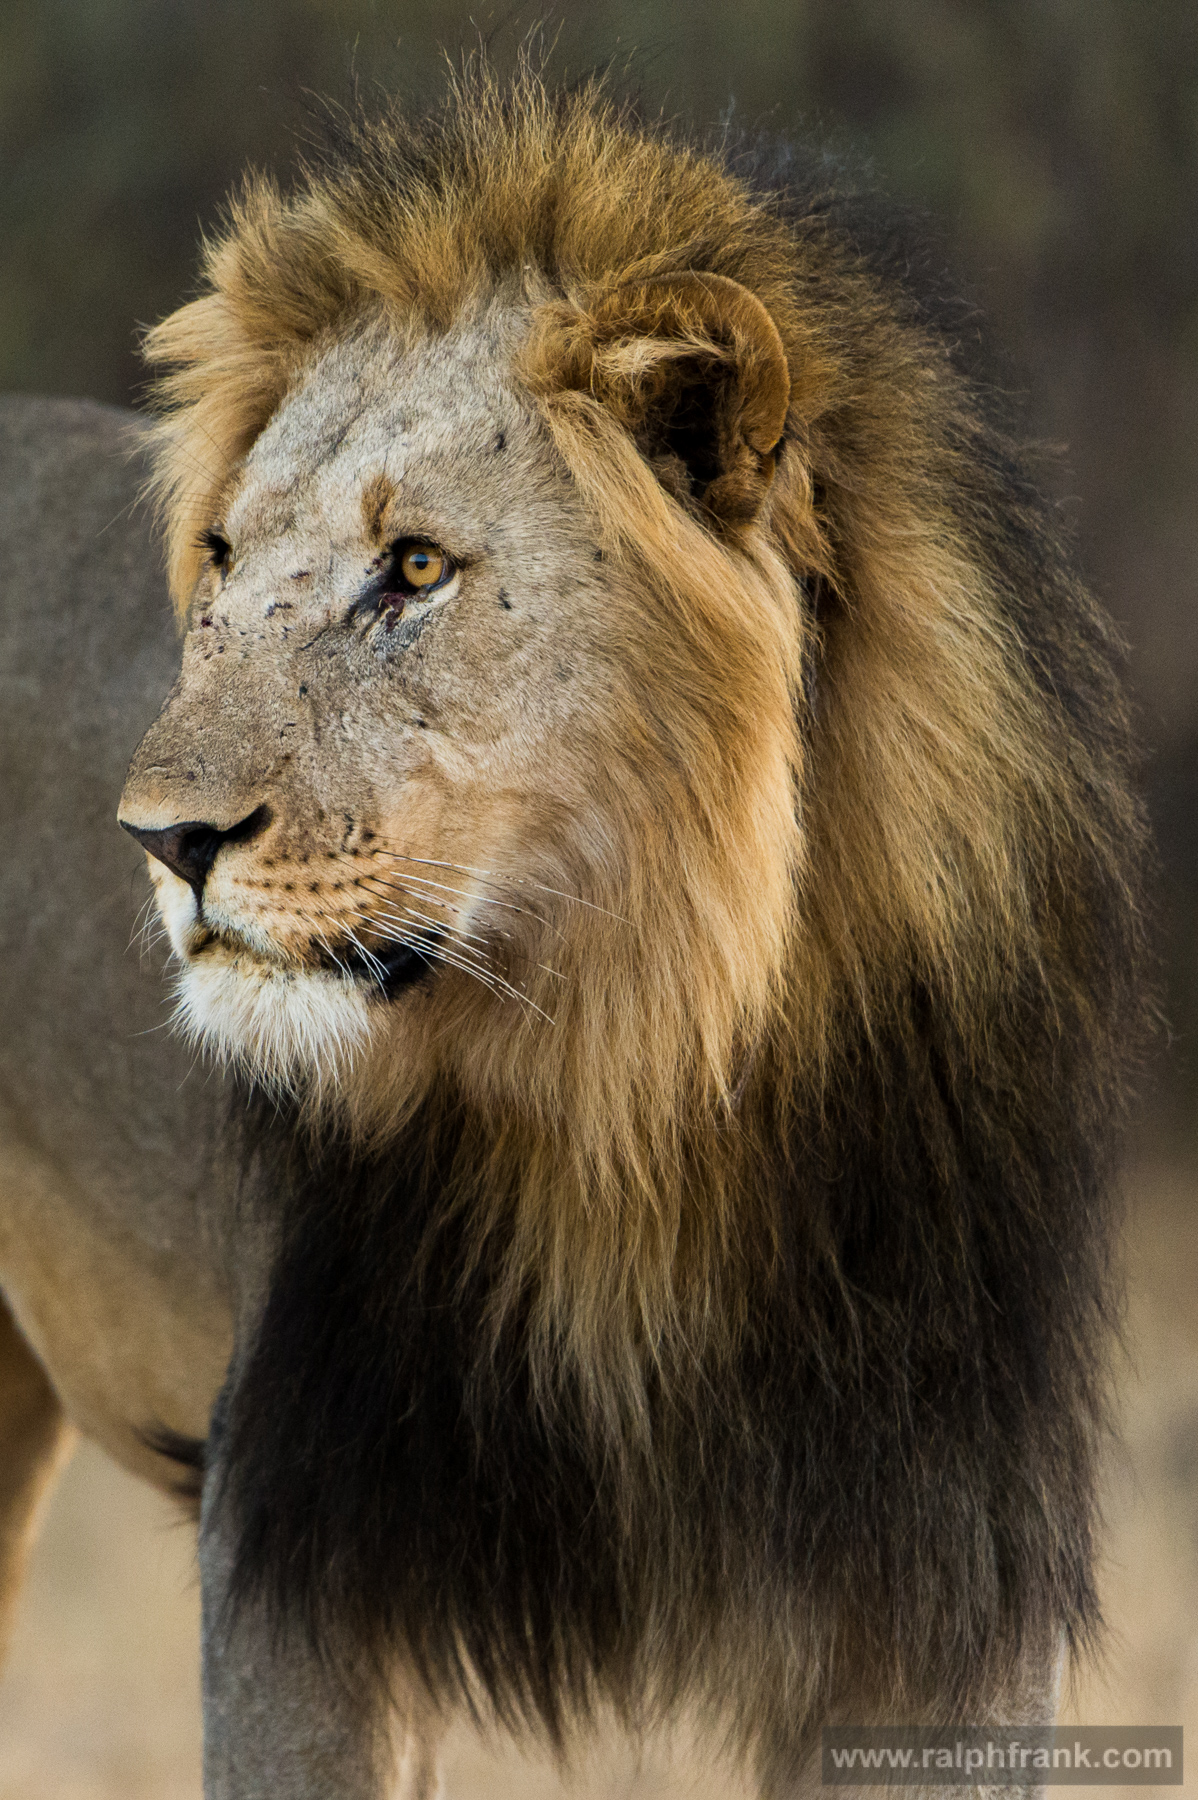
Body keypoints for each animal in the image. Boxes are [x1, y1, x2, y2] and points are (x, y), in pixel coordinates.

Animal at [0, 65, 1150, 1799]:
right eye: (219, 561)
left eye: (413, 568)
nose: (161, 841)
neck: (641, 1097)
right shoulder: (292, 1550)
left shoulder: (943, 1580)